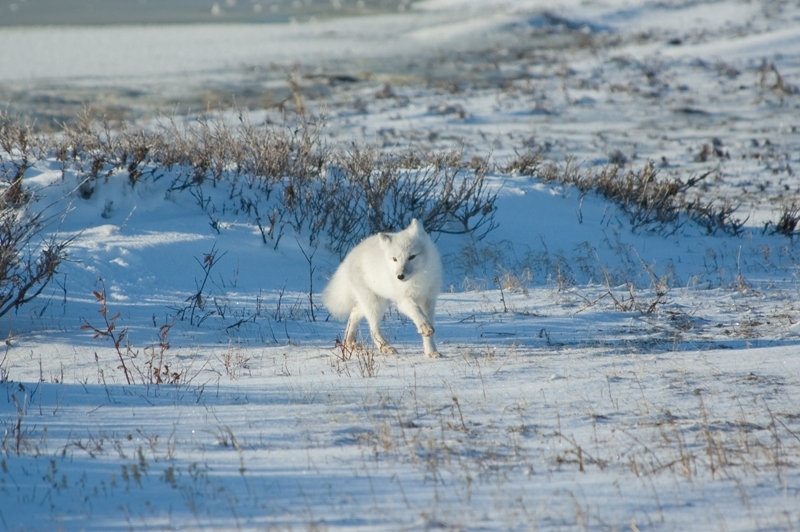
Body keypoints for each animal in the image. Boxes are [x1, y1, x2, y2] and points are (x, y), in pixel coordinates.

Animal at [320, 218, 444, 360]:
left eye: (412, 256)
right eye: (395, 259)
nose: (400, 276)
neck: (418, 279)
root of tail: (350, 256)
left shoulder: (429, 300)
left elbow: (429, 328)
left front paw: (431, 351)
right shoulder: (403, 300)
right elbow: (416, 310)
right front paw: (424, 327)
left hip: (376, 302)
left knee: (354, 311)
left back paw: (349, 343)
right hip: (375, 304)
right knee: (373, 329)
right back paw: (385, 347)